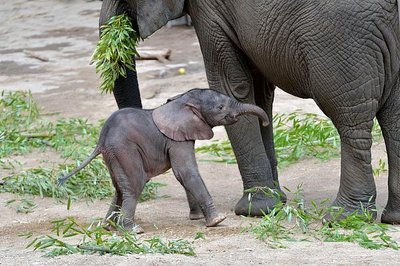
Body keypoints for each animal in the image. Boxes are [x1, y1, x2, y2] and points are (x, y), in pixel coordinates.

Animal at [57, 89, 268, 233]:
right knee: (134, 185)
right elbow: (186, 172)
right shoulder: (176, 139)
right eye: (220, 107)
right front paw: (218, 220)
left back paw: (108, 227)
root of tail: (101, 138)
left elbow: (183, 175)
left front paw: (197, 218)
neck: (183, 100)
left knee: (119, 188)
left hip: (113, 155)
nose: (265, 122)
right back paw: (133, 230)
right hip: (125, 150)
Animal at [101, 0, 400, 223]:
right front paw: (274, 202)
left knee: (349, 119)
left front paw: (255, 210)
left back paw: (344, 218)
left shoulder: (210, 11)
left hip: (341, 39)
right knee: (393, 119)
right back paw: (392, 218)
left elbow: (233, 85)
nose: (193, 215)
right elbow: (259, 92)